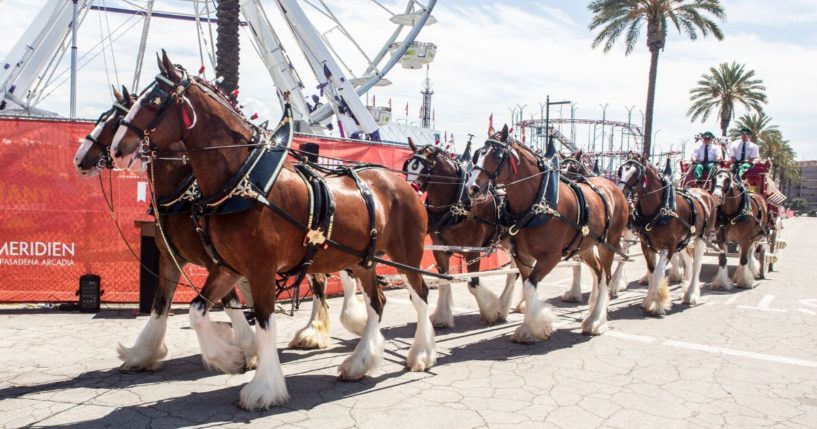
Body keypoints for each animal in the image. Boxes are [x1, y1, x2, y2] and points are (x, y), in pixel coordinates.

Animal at [112, 51, 436, 410]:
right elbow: (198, 311)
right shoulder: (226, 266)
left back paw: (421, 354)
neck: (245, 182)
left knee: (421, 295)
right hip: (362, 260)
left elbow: (266, 321)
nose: (117, 150)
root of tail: (404, 185)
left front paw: (264, 386)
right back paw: (360, 362)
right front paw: (230, 356)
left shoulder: (261, 268)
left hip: (407, 256)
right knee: (377, 302)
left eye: (154, 101)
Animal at [404, 139, 512, 326]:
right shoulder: (440, 249)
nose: (408, 191)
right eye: (408, 165)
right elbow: (443, 281)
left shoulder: (472, 250)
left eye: (424, 169)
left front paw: (491, 311)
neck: (458, 204)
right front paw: (441, 317)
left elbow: (474, 284)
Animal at [466, 125, 624, 340]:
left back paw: (596, 322)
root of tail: (614, 187)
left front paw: (538, 326)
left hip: (609, 244)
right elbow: (527, 284)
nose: (472, 188)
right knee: (599, 274)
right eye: (478, 153)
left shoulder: (551, 256)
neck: (538, 202)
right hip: (585, 248)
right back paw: (593, 314)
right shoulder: (522, 255)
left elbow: (530, 285)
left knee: (606, 277)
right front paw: (528, 328)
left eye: (498, 156)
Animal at [620, 154, 712, 314]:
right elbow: (651, 272)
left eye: (635, 174)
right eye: (621, 170)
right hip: (685, 239)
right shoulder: (646, 245)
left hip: (702, 237)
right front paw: (649, 299)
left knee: (697, 264)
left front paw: (656, 303)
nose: (619, 192)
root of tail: (704, 193)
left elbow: (658, 272)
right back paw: (686, 287)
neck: (660, 209)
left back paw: (691, 294)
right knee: (689, 259)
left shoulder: (669, 246)